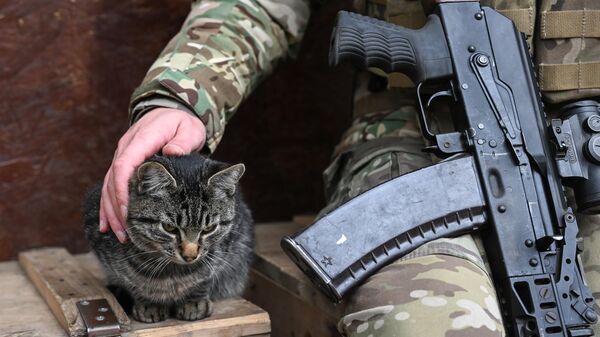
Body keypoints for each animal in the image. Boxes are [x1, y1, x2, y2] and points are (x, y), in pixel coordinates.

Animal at [82, 154, 253, 322]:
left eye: (209, 229)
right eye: (169, 228)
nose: (190, 256)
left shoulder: (224, 252)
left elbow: (205, 276)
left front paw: (194, 301)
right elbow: (130, 280)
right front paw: (149, 303)